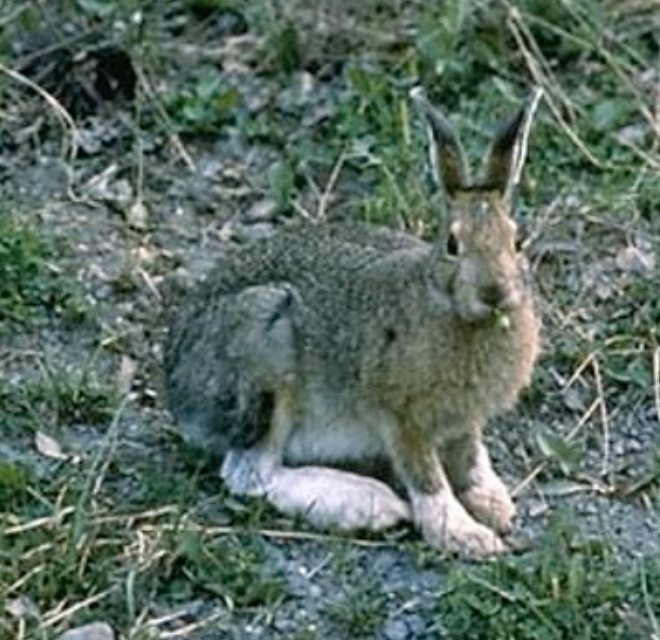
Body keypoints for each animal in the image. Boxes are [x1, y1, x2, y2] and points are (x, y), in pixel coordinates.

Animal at [163, 86, 543, 557]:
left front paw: (491, 502)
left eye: (517, 241)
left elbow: (470, 457)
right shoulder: (401, 417)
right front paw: (463, 535)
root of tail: (175, 387)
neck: (449, 306)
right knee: (250, 474)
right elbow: (427, 479)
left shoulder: (463, 420)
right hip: (265, 345)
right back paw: (368, 505)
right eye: (452, 245)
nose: (495, 292)